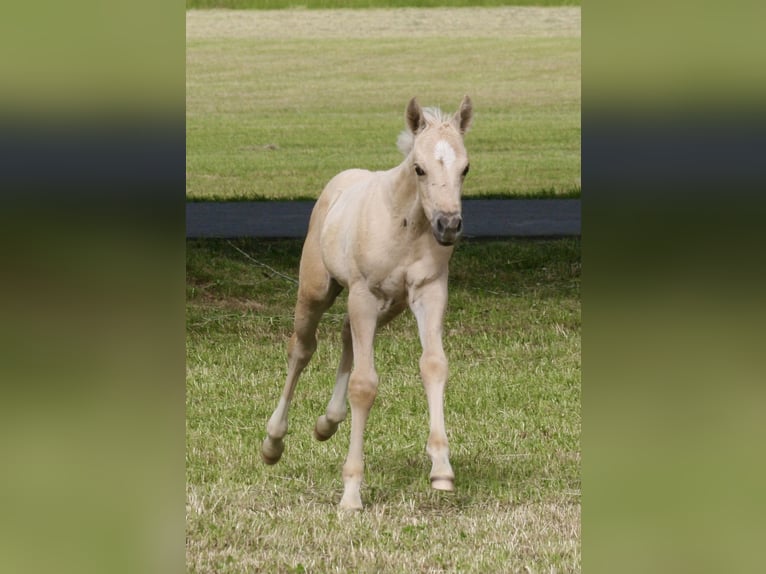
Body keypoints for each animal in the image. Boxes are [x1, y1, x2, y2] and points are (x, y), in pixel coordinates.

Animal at [261, 96, 473, 510]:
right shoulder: (363, 292)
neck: (406, 222)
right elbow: (364, 384)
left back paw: (327, 422)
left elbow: (434, 365)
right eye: (419, 168)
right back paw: (273, 443)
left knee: (346, 334)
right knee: (302, 348)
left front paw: (441, 467)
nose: (449, 225)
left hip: (390, 305)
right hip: (318, 289)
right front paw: (351, 493)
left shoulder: (429, 291)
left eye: (465, 168)